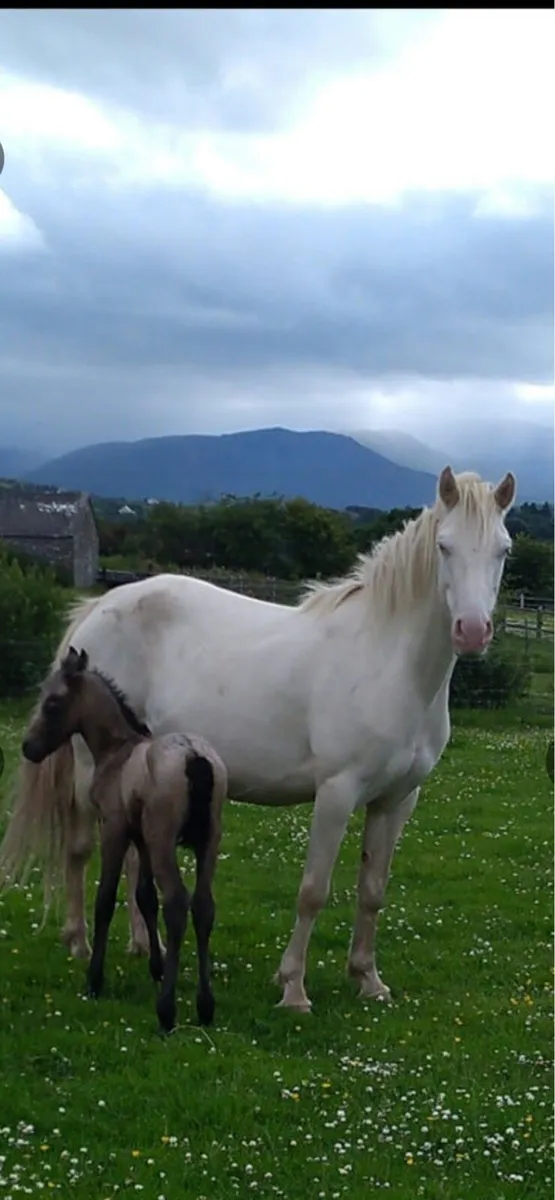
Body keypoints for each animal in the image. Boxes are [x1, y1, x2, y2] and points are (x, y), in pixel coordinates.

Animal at [20, 645, 227, 1033]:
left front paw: (94, 980)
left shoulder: (114, 829)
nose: (29, 747)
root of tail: (195, 758)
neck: (117, 751)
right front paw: (155, 967)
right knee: (204, 906)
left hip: (164, 841)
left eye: (52, 703)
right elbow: (144, 896)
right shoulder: (140, 838)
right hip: (208, 842)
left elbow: (105, 898)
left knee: (177, 902)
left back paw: (167, 1011)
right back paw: (206, 1006)